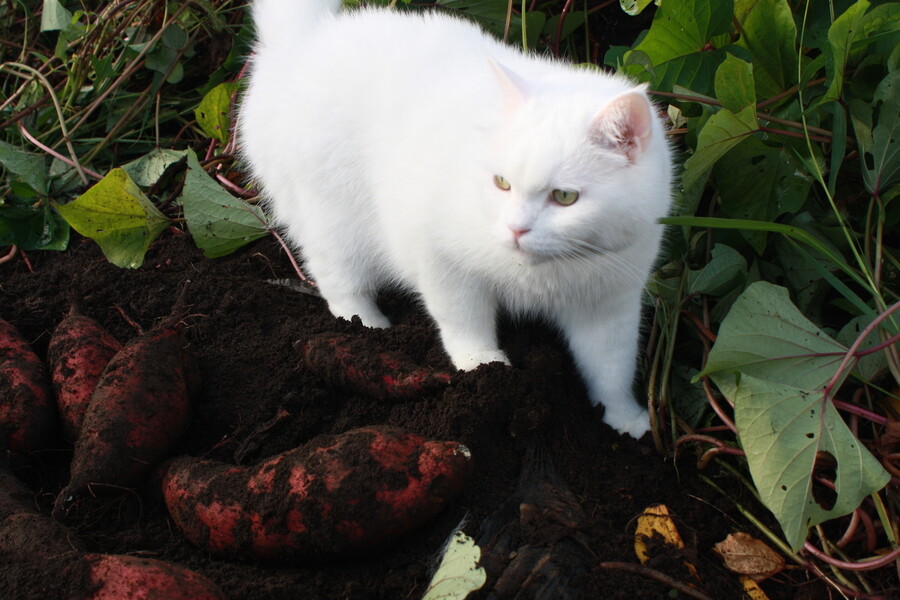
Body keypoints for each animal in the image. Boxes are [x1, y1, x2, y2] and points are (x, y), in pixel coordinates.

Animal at [239, 1, 668, 440]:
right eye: (502, 182)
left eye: (565, 197)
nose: (516, 228)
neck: (546, 271)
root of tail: (304, 37)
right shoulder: (442, 259)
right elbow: (464, 322)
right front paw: (484, 372)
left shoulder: (611, 305)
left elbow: (612, 368)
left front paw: (625, 420)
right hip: (333, 218)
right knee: (339, 281)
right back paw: (368, 329)